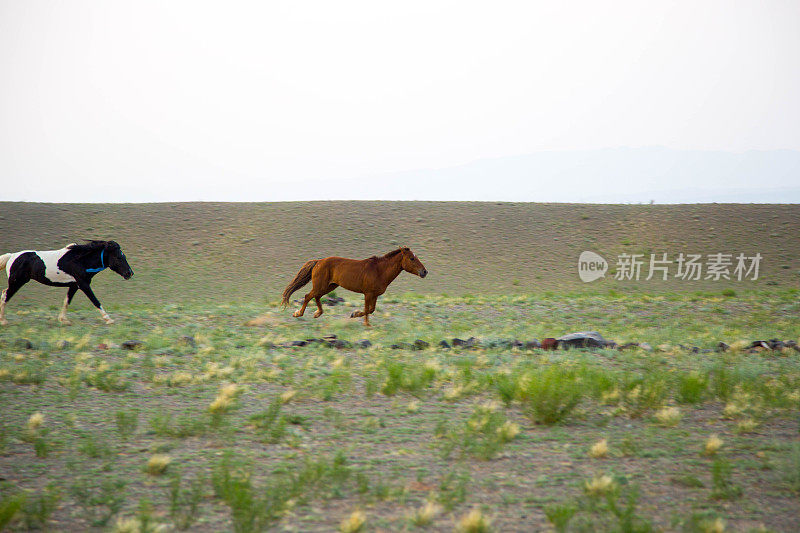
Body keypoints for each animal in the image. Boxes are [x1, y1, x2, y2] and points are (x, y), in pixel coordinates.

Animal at [0, 240, 133, 324]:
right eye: (118, 257)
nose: (130, 273)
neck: (80, 261)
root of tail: (11, 256)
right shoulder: (84, 285)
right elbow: (95, 301)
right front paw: (109, 319)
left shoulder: (74, 285)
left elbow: (67, 301)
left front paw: (63, 320)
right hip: (17, 282)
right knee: (5, 296)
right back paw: (3, 321)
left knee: (4, 294)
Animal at [282, 247, 428, 326]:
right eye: (412, 258)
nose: (424, 272)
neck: (380, 270)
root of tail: (318, 261)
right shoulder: (368, 294)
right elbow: (367, 309)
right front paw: (364, 322)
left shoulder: (374, 295)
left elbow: (371, 309)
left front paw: (355, 315)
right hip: (321, 285)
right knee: (308, 296)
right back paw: (298, 313)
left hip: (330, 286)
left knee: (316, 297)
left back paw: (317, 314)